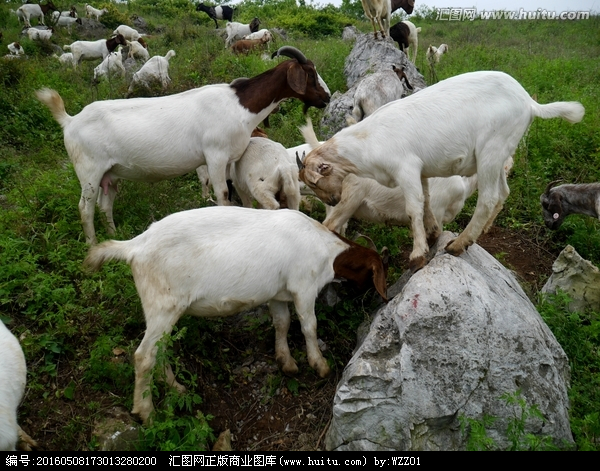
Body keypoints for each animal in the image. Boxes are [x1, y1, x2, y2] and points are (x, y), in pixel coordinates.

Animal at [35, 47, 330, 247]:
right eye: (311, 73)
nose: (326, 97)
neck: (239, 105)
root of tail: (69, 120)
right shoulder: (215, 155)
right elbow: (223, 193)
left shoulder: (231, 159)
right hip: (89, 171)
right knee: (85, 208)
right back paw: (93, 245)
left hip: (111, 174)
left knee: (104, 205)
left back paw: (114, 235)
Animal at [82, 206, 386, 424]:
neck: (326, 249)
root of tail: (134, 246)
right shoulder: (304, 287)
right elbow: (309, 326)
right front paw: (320, 365)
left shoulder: (277, 294)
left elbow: (282, 323)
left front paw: (286, 362)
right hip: (162, 304)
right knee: (144, 356)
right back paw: (146, 412)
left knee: (162, 349)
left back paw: (176, 387)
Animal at [298, 68, 584, 272]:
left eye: (313, 182)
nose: (332, 200)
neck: (368, 140)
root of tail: (528, 102)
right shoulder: (421, 172)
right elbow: (425, 202)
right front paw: (432, 233)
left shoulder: (406, 168)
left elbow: (413, 208)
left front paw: (418, 255)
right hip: (501, 153)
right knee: (503, 193)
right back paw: (479, 233)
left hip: (491, 150)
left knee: (488, 198)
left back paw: (459, 244)